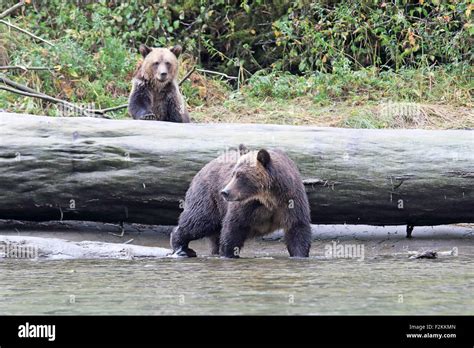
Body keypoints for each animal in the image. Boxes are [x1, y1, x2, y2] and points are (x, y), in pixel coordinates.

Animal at [170, 145, 312, 258]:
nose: (224, 192)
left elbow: (297, 229)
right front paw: (228, 254)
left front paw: (299, 255)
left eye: (240, 175)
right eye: (233, 174)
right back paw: (182, 248)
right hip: (208, 196)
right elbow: (233, 228)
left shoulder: (291, 201)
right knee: (199, 221)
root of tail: (204, 167)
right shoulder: (246, 206)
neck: (269, 199)